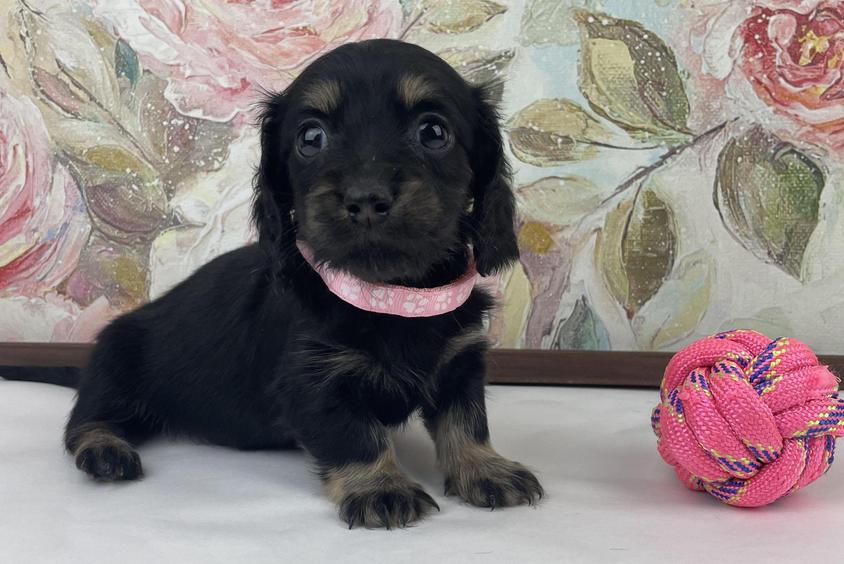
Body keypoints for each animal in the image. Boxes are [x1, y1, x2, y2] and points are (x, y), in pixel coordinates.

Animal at [56, 39, 544, 528]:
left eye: (433, 132)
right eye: (311, 138)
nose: (366, 198)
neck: (392, 298)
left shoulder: (460, 362)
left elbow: (466, 422)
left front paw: (486, 469)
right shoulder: (314, 384)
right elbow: (356, 436)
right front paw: (381, 487)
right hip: (115, 363)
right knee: (84, 421)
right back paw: (105, 451)